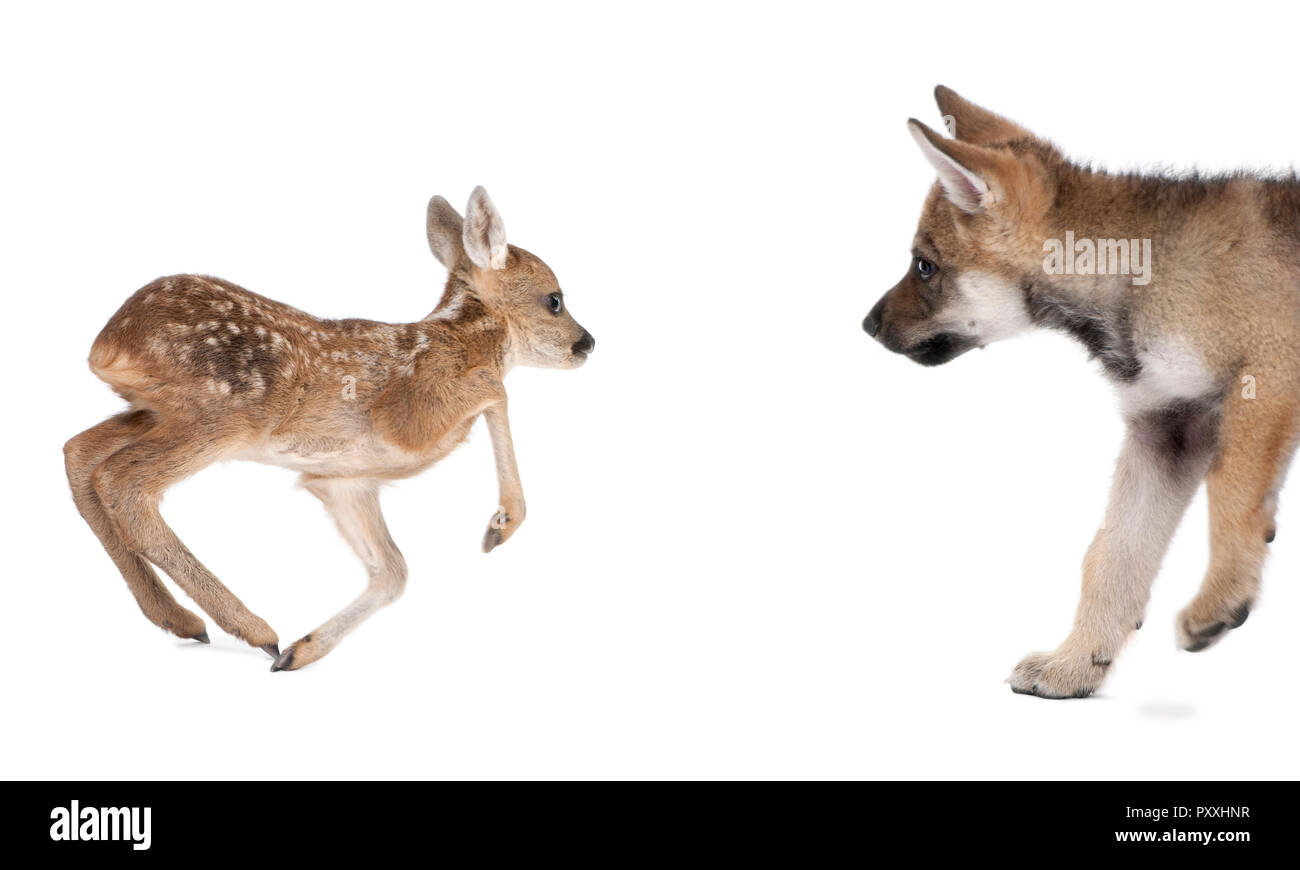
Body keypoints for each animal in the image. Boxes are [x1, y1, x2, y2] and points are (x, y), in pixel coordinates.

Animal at [63, 186, 595, 671]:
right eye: (555, 300)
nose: (587, 343)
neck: (458, 339)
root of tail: (109, 341)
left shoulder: (345, 479)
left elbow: (393, 573)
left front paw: (303, 651)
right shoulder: (410, 415)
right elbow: (497, 392)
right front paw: (501, 524)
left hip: (154, 411)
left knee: (80, 452)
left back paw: (184, 621)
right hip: (221, 414)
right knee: (124, 481)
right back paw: (254, 630)